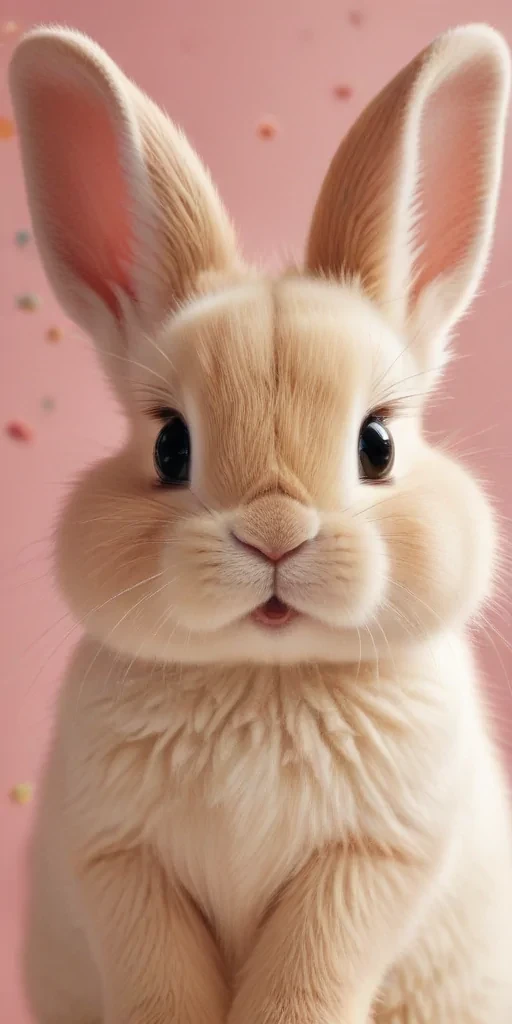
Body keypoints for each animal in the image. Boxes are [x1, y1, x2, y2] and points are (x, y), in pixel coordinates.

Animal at [9, 20, 512, 1024]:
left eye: (377, 444)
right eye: (171, 447)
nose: (276, 535)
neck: (264, 673)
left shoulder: (367, 865)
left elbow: (307, 975)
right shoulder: (122, 864)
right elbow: (162, 981)